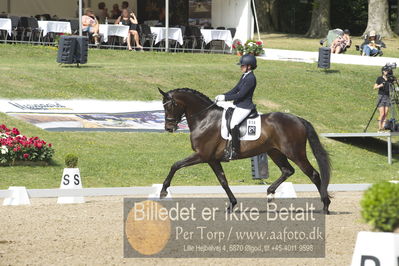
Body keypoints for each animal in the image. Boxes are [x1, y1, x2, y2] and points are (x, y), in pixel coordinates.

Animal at [158, 87, 332, 214]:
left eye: (171, 105)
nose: (169, 128)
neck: (205, 119)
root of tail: (298, 119)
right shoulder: (212, 159)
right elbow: (223, 181)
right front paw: (232, 204)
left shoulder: (202, 155)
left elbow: (175, 165)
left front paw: (163, 191)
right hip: (275, 152)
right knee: (287, 170)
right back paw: (270, 194)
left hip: (295, 153)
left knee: (313, 174)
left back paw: (325, 205)